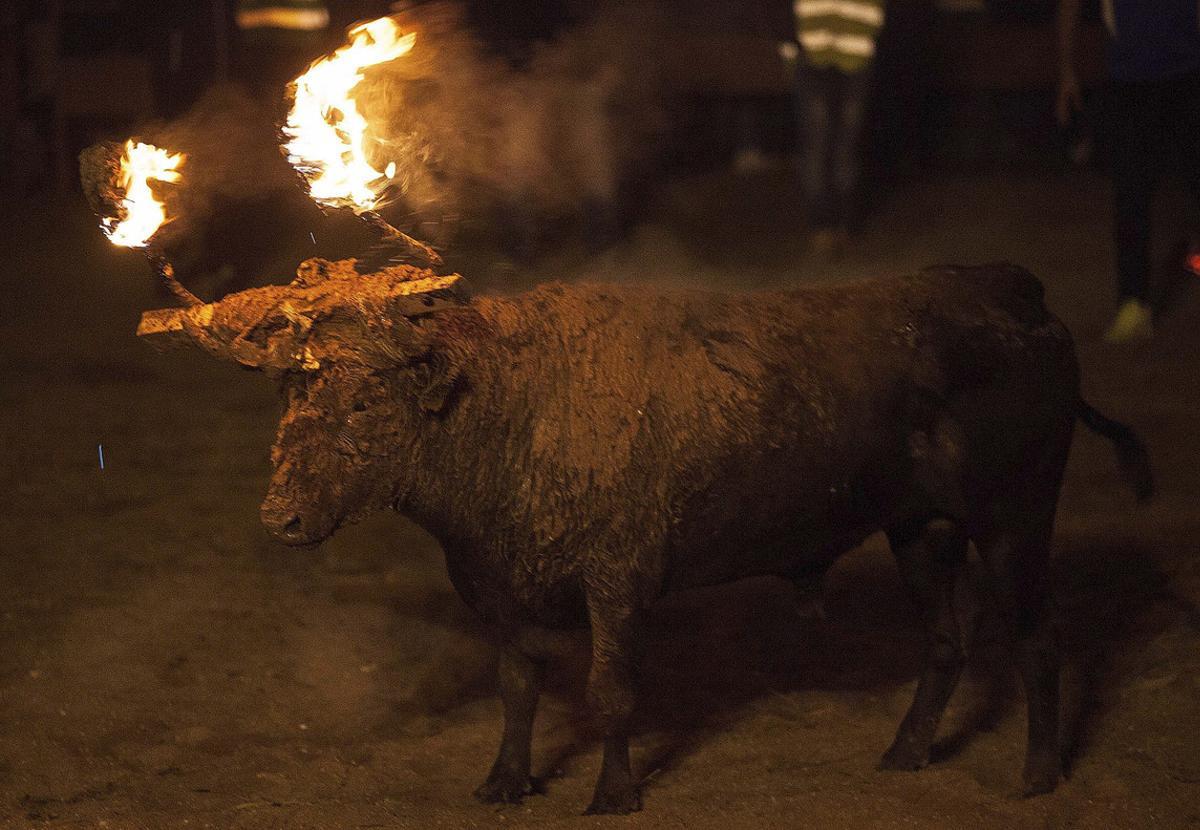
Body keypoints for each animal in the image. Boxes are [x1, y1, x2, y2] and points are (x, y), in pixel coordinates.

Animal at [138, 257, 1152, 810]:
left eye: (360, 400)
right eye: (289, 401)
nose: (281, 517)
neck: (510, 407)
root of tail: (1018, 297)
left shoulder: (618, 585)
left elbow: (612, 694)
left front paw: (611, 794)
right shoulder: (500, 590)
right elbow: (518, 689)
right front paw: (506, 782)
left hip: (1015, 521)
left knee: (1038, 639)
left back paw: (1038, 774)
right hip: (921, 533)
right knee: (946, 643)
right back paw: (905, 753)